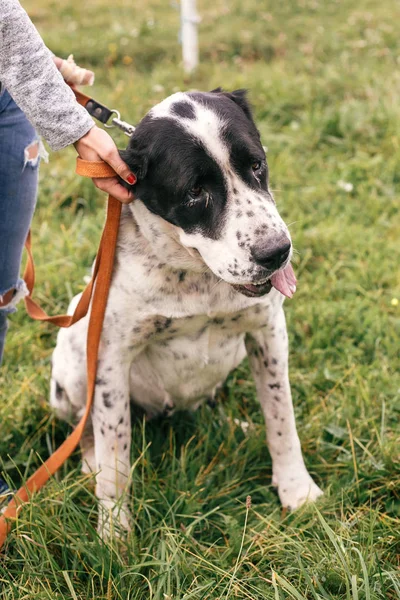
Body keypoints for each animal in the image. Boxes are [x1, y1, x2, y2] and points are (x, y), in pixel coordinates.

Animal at [50, 90, 322, 536]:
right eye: (195, 191)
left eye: (256, 165)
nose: (277, 253)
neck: (197, 278)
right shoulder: (110, 361)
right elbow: (115, 453)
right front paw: (114, 532)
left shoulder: (269, 335)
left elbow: (282, 419)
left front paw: (297, 491)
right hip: (72, 363)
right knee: (87, 428)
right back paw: (89, 462)